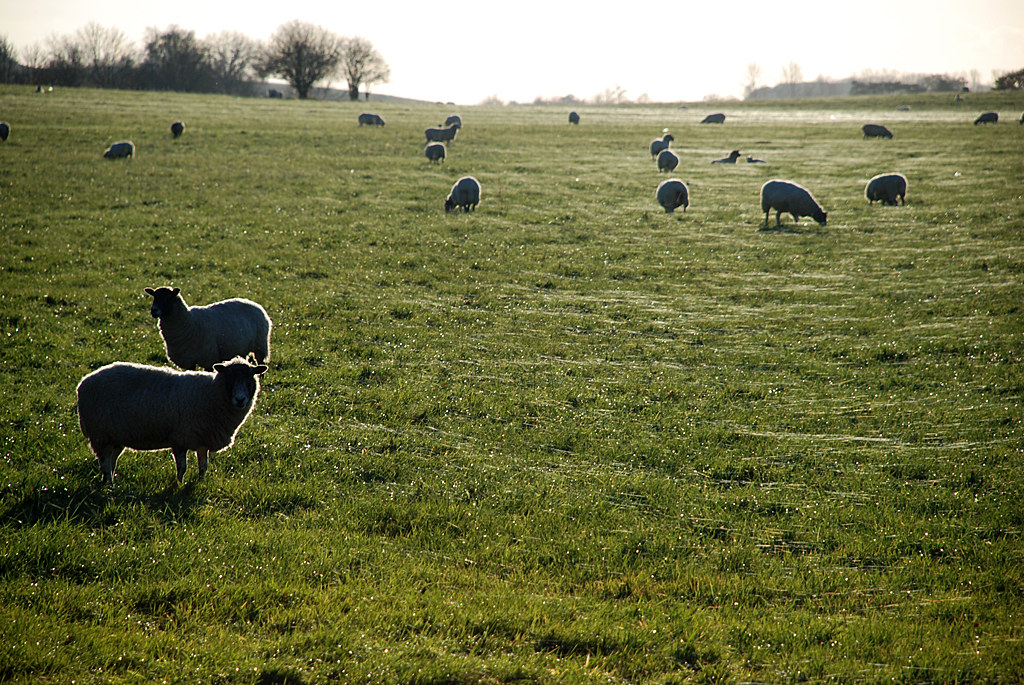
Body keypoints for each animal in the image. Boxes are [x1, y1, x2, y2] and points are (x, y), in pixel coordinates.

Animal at [76, 356, 267, 484]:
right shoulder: (180, 439)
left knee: (111, 462)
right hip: (100, 435)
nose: (241, 399)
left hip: (115, 437)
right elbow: (182, 467)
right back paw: (109, 486)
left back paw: (108, 483)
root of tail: (83, 383)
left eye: (250, 378)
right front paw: (179, 484)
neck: (211, 394)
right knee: (105, 464)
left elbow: (203, 466)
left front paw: (200, 482)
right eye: (230, 378)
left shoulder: (203, 439)